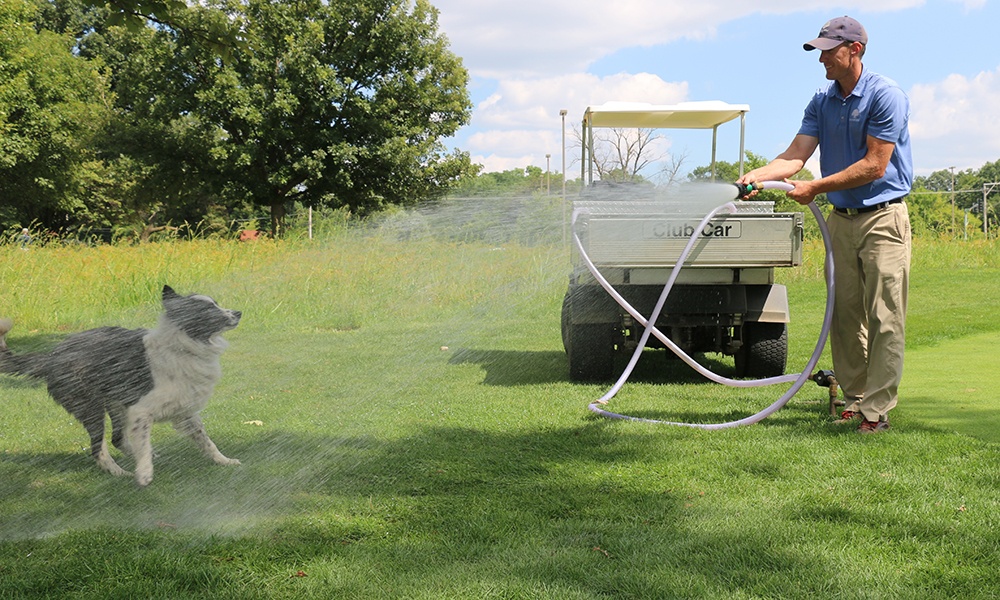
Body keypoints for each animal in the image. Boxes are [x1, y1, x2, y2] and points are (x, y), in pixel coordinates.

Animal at [0, 286, 242, 488]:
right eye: (208, 309)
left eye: (216, 303)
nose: (239, 312)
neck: (183, 346)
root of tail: (51, 357)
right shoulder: (141, 410)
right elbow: (143, 443)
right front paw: (144, 474)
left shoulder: (184, 411)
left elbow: (206, 440)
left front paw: (224, 460)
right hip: (92, 408)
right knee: (98, 449)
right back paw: (119, 472)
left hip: (116, 404)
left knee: (116, 439)